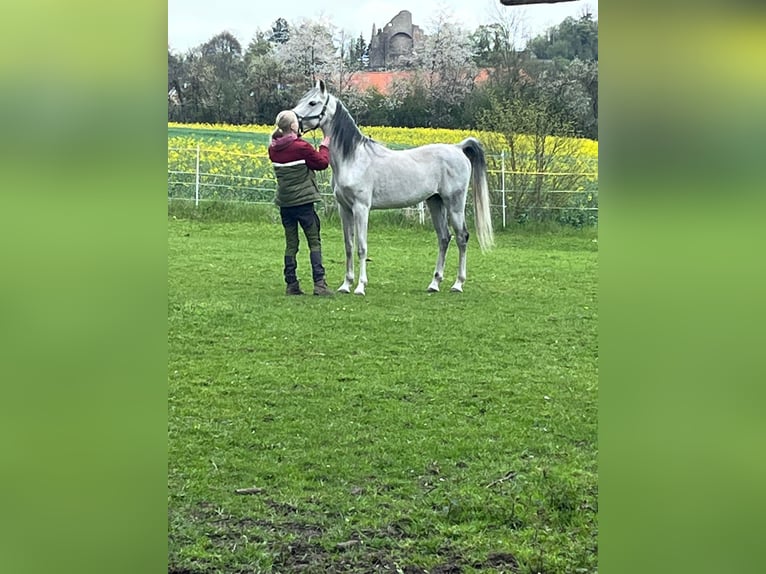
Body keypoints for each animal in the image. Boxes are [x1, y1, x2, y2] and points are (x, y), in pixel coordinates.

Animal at [292, 79, 494, 295]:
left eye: (312, 102)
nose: (292, 121)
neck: (353, 158)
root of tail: (458, 148)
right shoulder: (344, 208)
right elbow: (349, 246)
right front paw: (346, 285)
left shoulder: (361, 208)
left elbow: (361, 247)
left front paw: (360, 286)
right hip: (435, 202)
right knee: (444, 238)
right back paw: (434, 283)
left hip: (455, 204)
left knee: (462, 237)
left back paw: (458, 284)